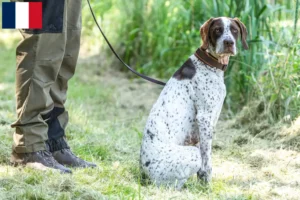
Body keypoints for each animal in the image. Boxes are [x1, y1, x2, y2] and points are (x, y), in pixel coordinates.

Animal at [141, 17, 248, 189]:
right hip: (190, 153)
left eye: (234, 30)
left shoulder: (200, 128)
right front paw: (206, 184)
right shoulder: (205, 118)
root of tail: (143, 173)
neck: (209, 63)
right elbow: (207, 160)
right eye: (217, 30)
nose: (229, 42)